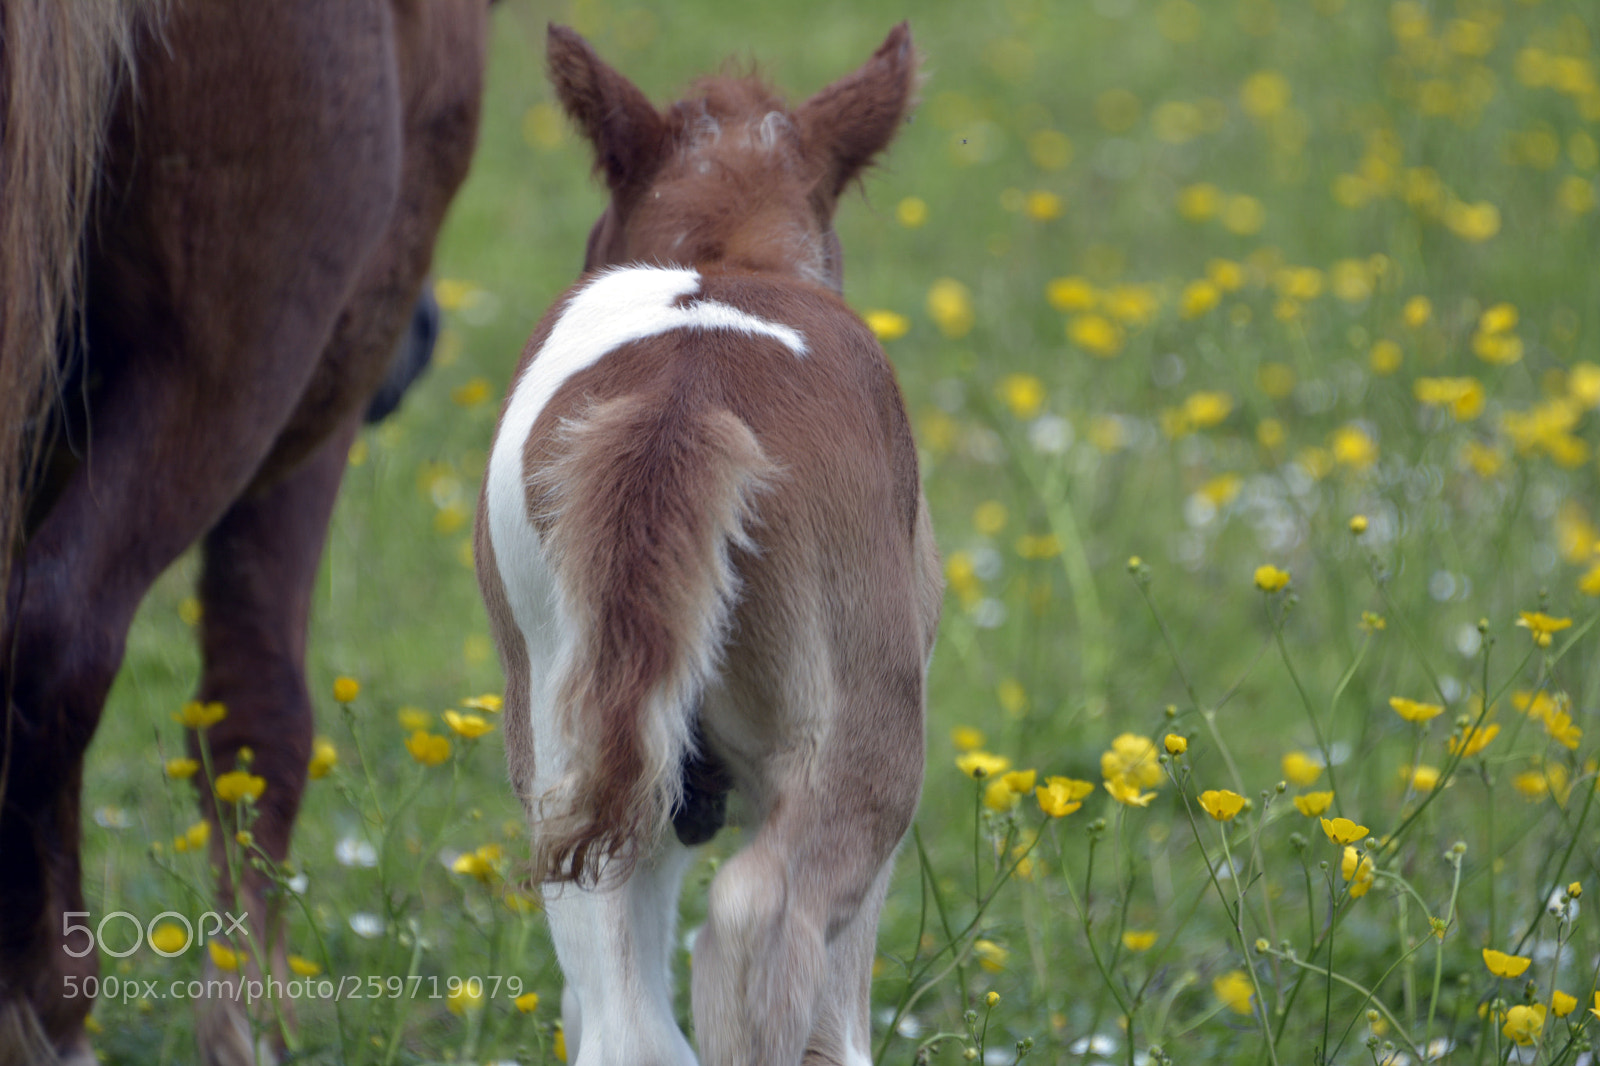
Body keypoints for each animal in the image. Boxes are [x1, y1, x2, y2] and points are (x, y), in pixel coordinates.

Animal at [0, 1, 490, 1061]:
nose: (422, 341)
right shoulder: (315, 397)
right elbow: (261, 714)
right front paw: (254, 1015)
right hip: (240, 353)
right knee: (59, 638)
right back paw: (51, 1010)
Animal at [475, 23, 940, 1066]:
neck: (731, 252)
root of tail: (680, 399)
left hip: (564, 744)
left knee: (627, 1022)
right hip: (864, 729)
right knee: (758, 923)